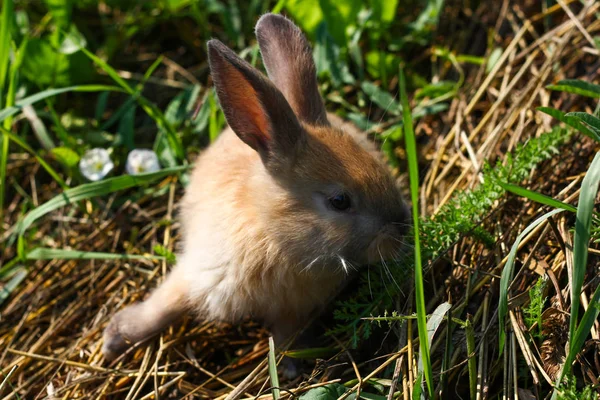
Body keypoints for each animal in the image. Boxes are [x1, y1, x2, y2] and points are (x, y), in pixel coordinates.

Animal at [102, 11, 412, 362]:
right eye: (339, 201)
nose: (403, 226)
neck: (273, 235)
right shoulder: (198, 274)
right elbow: (164, 306)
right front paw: (115, 339)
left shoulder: (293, 312)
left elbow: (286, 335)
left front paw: (288, 366)